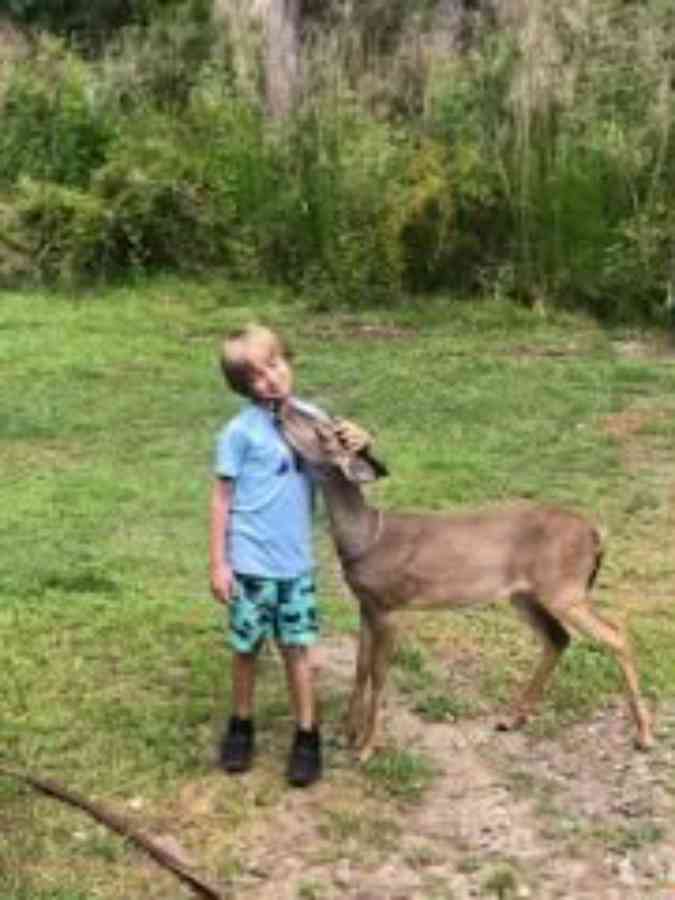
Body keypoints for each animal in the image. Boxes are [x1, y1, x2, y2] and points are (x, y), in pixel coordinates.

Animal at [280, 402, 654, 762]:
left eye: (322, 431)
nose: (279, 409)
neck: (367, 538)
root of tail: (596, 534)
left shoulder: (389, 605)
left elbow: (378, 674)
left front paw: (367, 748)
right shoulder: (366, 603)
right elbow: (360, 668)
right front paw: (346, 734)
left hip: (564, 588)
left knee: (615, 634)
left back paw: (644, 735)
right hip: (525, 594)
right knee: (558, 638)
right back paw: (512, 718)